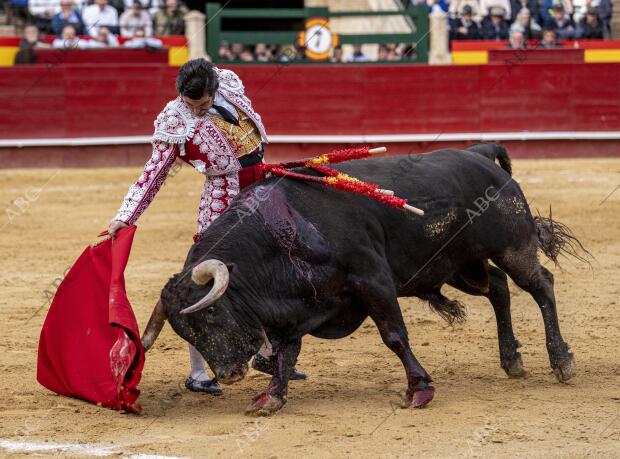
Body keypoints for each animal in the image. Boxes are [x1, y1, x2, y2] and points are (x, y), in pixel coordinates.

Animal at [140, 146, 588, 416]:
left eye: (211, 314)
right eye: (186, 333)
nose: (230, 373)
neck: (284, 231)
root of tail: (479, 153)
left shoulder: (373, 282)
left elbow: (394, 336)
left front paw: (419, 389)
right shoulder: (297, 306)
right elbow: (286, 352)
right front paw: (270, 397)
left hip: (512, 246)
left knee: (541, 286)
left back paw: (561, 361)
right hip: (462, 267)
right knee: (497, 288)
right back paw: (511, 360)